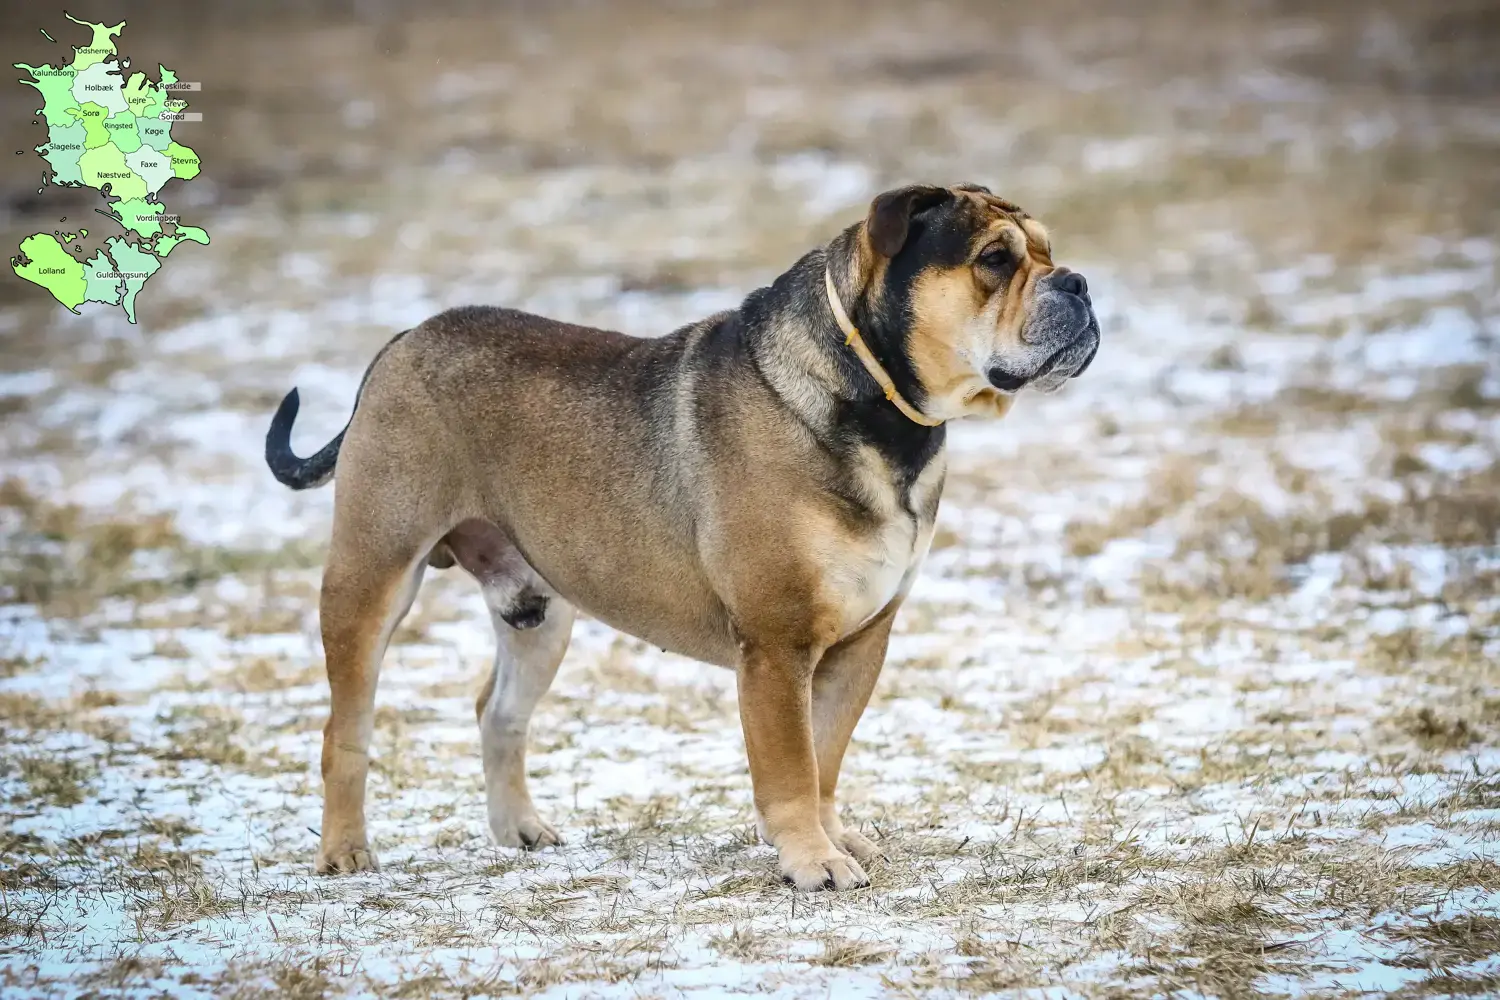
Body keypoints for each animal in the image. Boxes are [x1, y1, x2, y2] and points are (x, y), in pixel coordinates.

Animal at [264, 185, 1098, 893]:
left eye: (1049, 250)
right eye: (995, 260)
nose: (1081, 284)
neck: (880, 407)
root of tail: (401, 342)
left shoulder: (861, 642)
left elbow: (826, 757)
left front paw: (834, 837)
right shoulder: (776, 647)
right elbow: (792, 766)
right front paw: (812, 861)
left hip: (540, 610)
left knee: (498, 714)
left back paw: (521, 830)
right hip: (373, 573)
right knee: (345, 727)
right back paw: (345, 852)